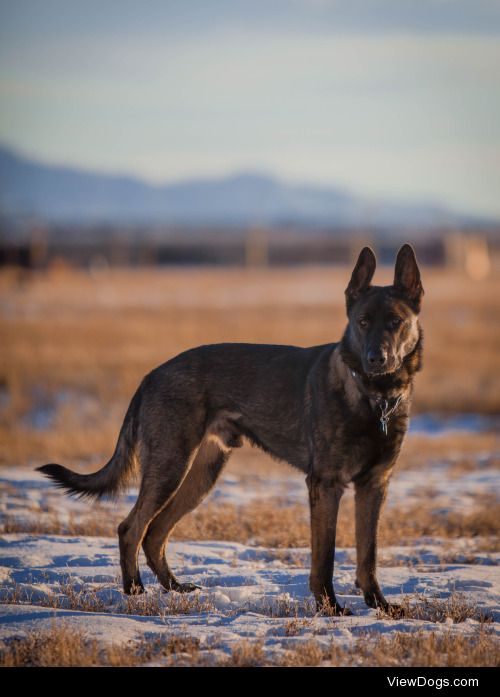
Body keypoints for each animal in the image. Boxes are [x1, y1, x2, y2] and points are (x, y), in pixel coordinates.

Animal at [37, 243, 424, 616]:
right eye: (362, 321)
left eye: (395, 322)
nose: (376, 359)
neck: (375, 398)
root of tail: (150, 375)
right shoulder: (326, 485)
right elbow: (324, 557)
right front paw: (329, 606)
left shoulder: (374, 485)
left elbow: (368, 555)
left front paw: (379, 605)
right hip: (170, 466)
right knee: (131, 528)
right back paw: (134, 592)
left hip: (201, 474)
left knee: (155, 533)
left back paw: (174, 588)